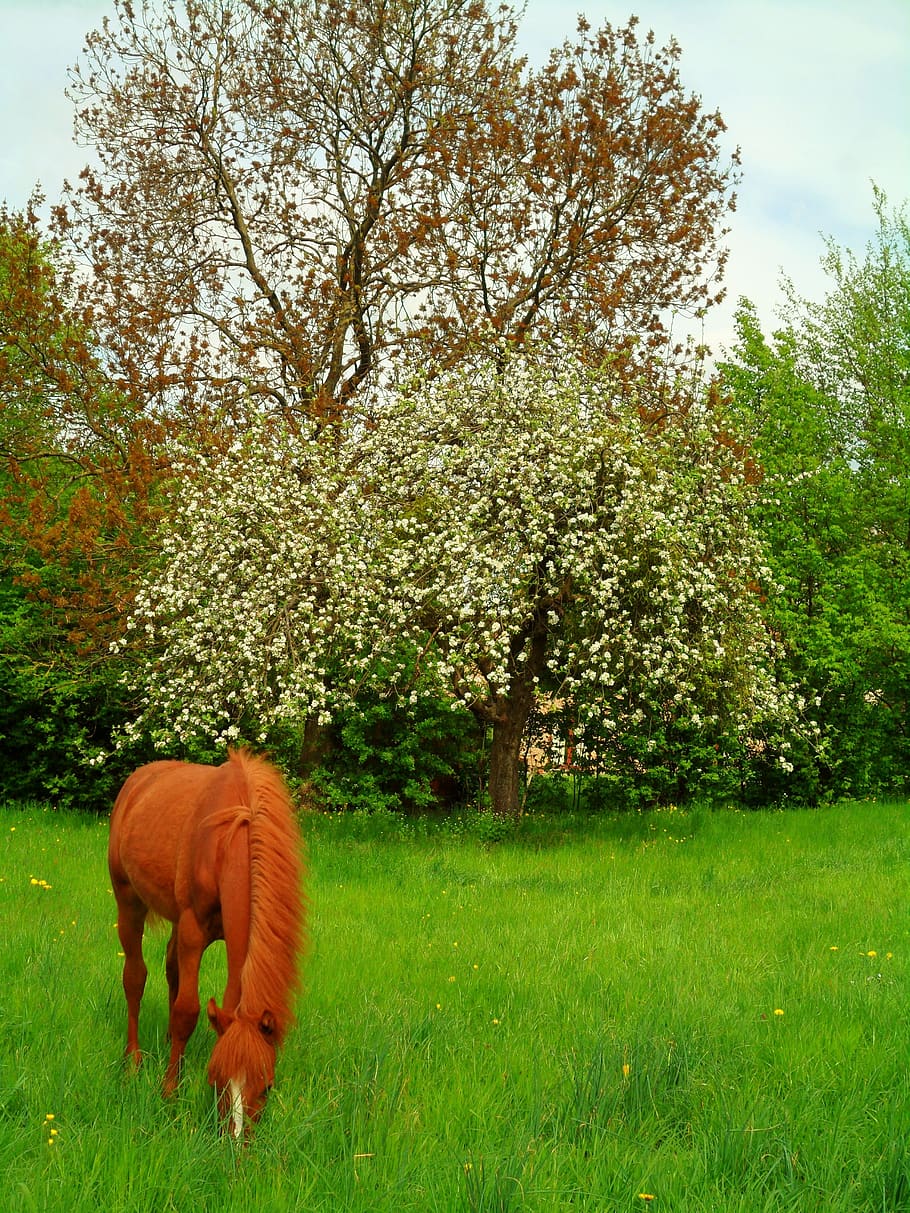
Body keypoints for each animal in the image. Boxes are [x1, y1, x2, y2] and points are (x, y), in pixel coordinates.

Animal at [108, 748, 306, 1138]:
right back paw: (133, 1060)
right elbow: (186, 1011)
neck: (229, 842)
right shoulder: (193, 929)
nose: (237, 1141)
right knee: (134, 977)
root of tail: (138, 779)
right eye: (216, 1081)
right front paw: (170, 1092)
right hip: (128, 902)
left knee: (170, 968)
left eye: (268, 1086)